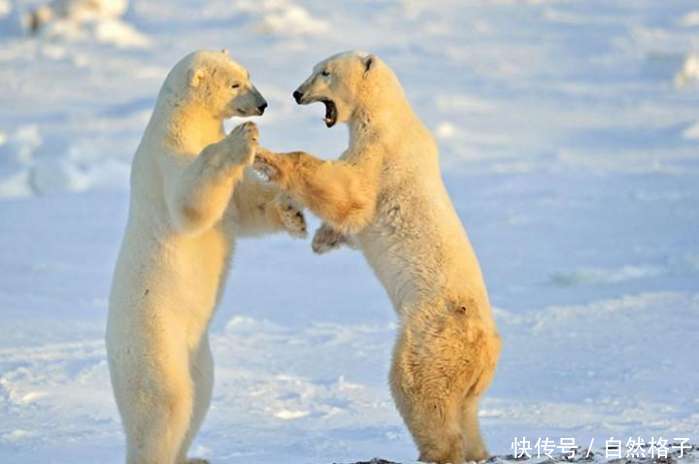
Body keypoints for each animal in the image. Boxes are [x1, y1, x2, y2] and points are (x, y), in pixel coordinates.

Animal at [106, 50, 306, 464]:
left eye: (249, 74)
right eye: (234, 83)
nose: (262, 105)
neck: (185, 119)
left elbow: (243, 205)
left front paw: (293, 212)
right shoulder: (167, 155)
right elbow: (190, 201)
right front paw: (243, 137)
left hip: (197, 352)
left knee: (201, 393)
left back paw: (192, 456)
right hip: (155, 340)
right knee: (165, 405)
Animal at [254, 51, 501, 464]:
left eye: (324, 72)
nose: (297, 93)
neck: (388, 116)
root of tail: (486, 348)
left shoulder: (382, 155)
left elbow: (348, 192)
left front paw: (263, 155)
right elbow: (350, 220)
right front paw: (320, 239)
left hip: (433, 333)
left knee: (418, 386)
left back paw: (436, 451)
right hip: (469, 372)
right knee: (466, 409)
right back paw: (477, 449)